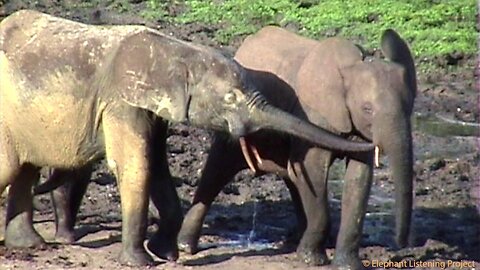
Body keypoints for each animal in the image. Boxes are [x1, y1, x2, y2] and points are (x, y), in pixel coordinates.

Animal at [0, 10, 372, 266]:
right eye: (230, 99)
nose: (368, 143)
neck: (180, 53)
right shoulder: (121, 101)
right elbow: (137, 166)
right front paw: (142, 262)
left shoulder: (154, 110)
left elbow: (158, 168)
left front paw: (165, 254)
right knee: (12, 169)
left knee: (24, 171)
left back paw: (30, 245)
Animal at [176, 26, 416, 268]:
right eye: (367, 109)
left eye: (409, 106)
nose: (401, 245)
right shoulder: (312, 114)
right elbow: (313, 172)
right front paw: (313, 260)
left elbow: (358, 180)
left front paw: (347, 265)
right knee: (217, 171)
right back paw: (186, 246)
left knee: (292, 177)